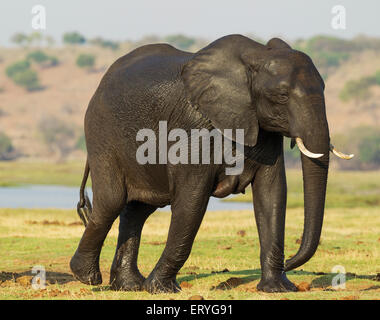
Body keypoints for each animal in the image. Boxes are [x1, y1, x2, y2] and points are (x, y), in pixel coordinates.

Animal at [70, 34, 352, 292]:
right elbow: (192, 199)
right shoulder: (192, 125)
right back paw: (86, 276)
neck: (256, 56)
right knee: (113, 200)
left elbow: (272, 194)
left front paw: (278, 289)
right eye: (282, 96)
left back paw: (129, 285)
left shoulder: (261, 126)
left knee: (139, 208)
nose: (291, 261)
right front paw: (162, 289)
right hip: (101, 133)